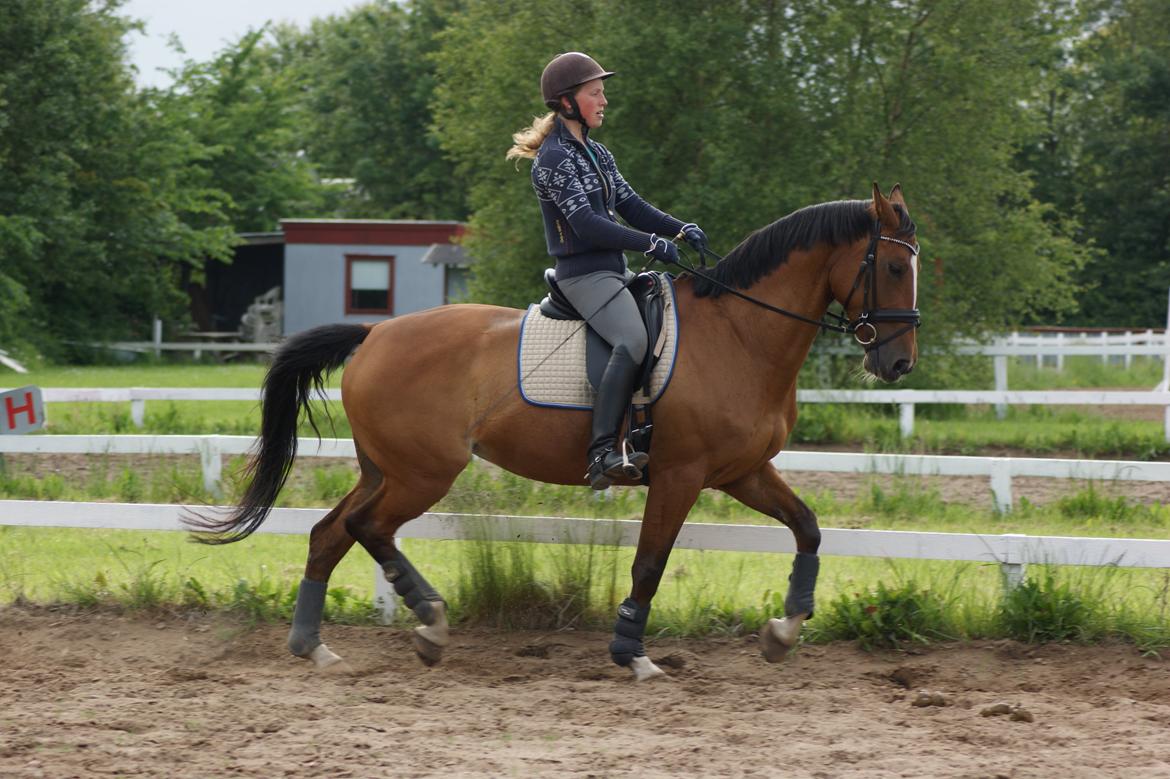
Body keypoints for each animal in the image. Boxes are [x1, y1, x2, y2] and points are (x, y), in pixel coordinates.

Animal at [187, 182, 921, 678]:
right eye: (892, 266)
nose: (898, 363)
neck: (740, 334)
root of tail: (375, 334)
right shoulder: (680, 474)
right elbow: (650, 561)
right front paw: (632, 653)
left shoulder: (742, 471)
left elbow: (808, 527)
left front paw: (784, 629)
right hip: (423, 472)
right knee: (369, 528)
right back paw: (429, 623)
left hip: (386, 468)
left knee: (330, 532)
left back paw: (314, 644)